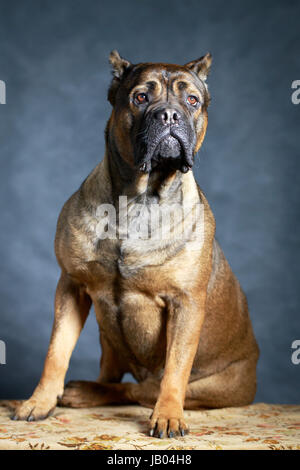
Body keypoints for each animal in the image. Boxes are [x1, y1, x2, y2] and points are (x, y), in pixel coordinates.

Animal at [12, 50, 258, 436]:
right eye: (141, 97)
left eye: (192, 101)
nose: (169, 114)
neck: (139, 199)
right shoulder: (71, 286)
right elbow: (56, 351)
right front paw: (39, 401)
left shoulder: (186, 304)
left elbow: (175, 368)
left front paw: (169, 414)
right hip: (108, 342)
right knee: (122, 380)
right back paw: (85, 391)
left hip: (215, 387)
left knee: (142, 389)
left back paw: (91, 393)